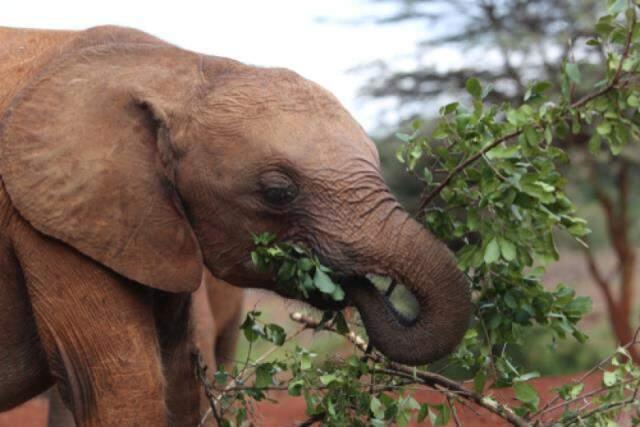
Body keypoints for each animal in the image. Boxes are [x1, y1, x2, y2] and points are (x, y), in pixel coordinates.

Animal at [0, 25, 470, 426]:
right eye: (278, 192)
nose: (357, 285)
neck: (180, 69)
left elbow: (180, 380)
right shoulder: (47, 221)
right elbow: (122, 389)